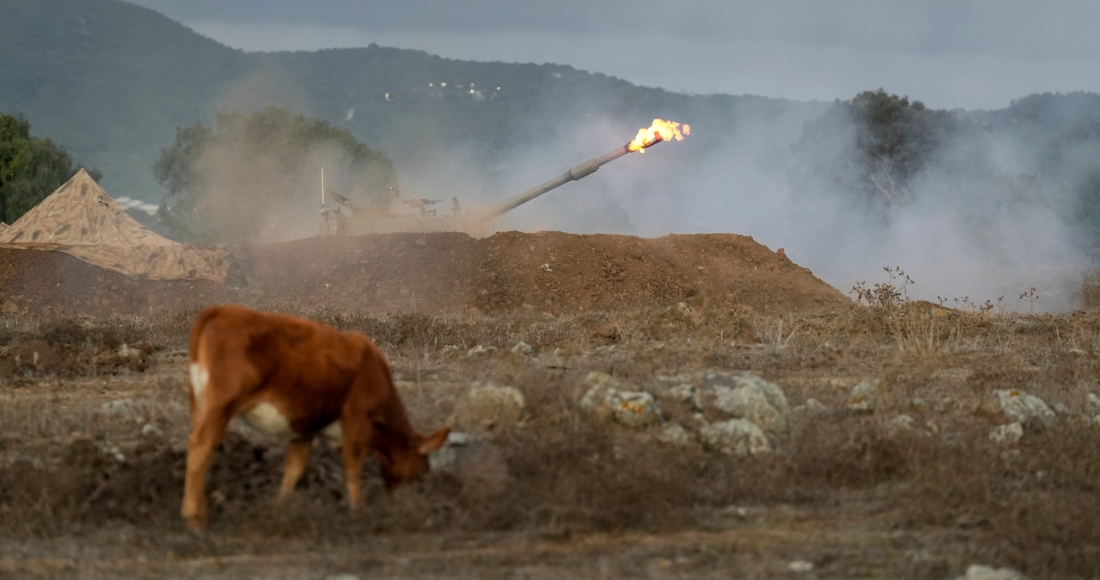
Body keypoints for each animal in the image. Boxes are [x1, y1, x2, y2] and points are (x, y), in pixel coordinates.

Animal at [182, 305, 448, 532]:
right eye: (424, 468)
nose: (415, 499)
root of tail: (221, 309)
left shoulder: (305, 428)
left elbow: (294, 469)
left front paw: (280, 509)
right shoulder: (356, 419)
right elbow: (353, 467)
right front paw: (358, 512)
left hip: (199, 402)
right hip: (221, 404)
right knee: (201, 447)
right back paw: (194, 519)